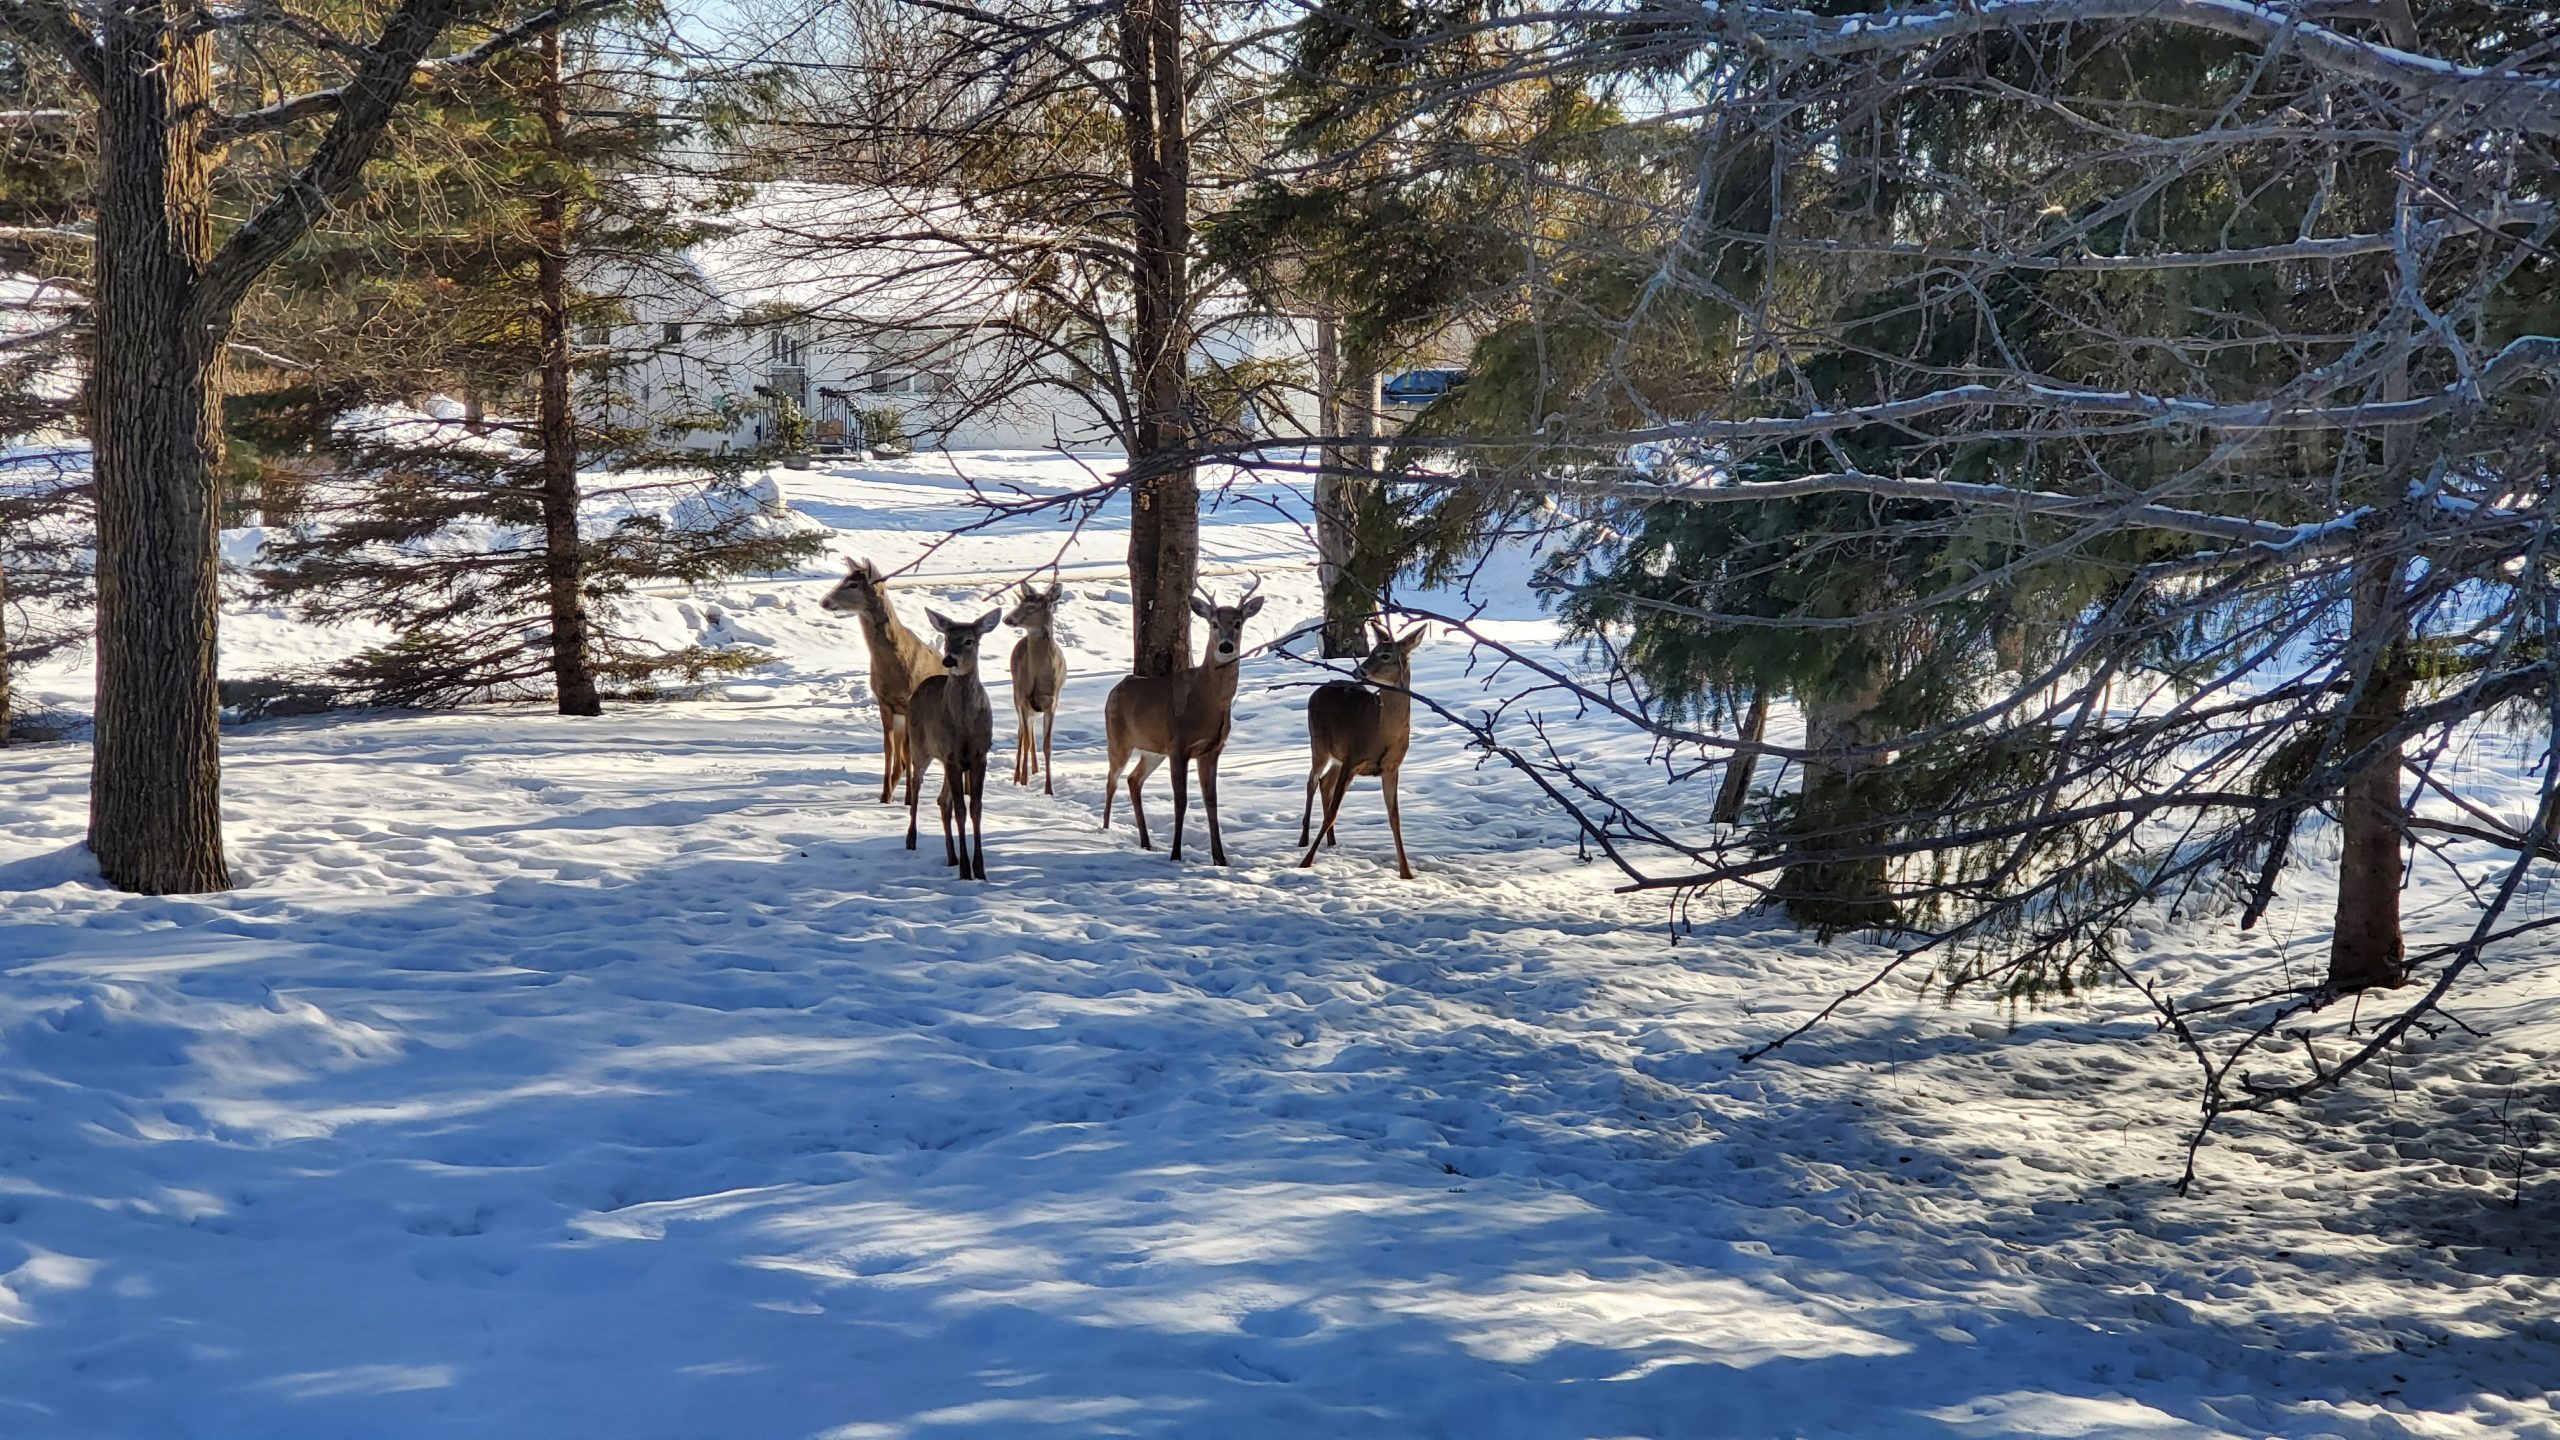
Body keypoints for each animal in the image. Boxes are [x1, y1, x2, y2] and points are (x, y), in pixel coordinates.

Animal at [820, 558, 943, 804]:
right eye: (844, 578)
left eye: (853, 584)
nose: (824, 601)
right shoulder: (884, 702)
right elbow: (888, 749)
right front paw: (885, 797)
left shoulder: (909, 703)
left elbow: (907, 752)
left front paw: (908, 799)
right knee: (901, 759)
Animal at [905, 606, 1002, 880]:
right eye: (948, 638)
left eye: (969, 640)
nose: (949, 660)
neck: (965, 726)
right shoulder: (951, 755)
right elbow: (961, 810)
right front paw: (966, 871)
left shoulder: (979, 756)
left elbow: (976, 808)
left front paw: (980, 870)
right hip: (920, 747)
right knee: (916, 786)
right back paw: (911, 840)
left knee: (942, 800)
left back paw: (951, 856)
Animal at [1003, 581, 1068, 793]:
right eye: (1020, 602)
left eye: (1032, 607)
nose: (1007, 619)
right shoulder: (1023, 698)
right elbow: (1025, 740)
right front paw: (1023, 781)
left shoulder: (1051, 701)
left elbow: (1047, 745)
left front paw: (1049, 789)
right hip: (1016, 696)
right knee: (1022, 734)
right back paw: (1018, 777)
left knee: (1028, 732)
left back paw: (1035, 770)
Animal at [1101, 578, 1265, 866]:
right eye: (1213, 623)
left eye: (1238, 622)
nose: (1225, 646)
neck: (1206, 701)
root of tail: (1116, 688)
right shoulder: (1178, 744)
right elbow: (1181, 800)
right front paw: (1176, 854)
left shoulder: (1211, 750)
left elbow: (1211, 802)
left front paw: (1220, 859)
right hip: (1118, 739)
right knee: (1112, 780)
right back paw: (1106, 830)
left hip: (1153, 750)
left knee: (1133, 780)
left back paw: (1146, 842)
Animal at [1298, 621, 1425, 880]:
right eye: (1373, 650)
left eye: (1385, 655)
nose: (1360, 672)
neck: (1381, 732)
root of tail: (1319, 689)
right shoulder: (1353, 758)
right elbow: (1333, 812)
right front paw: (1305, 863)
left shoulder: (1391, 767)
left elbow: (1395, 818)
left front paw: (1406, 872)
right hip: (1319, 742)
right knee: (1312, 780)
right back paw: (1304, 840)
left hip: (1336, 756)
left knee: (1325, 782)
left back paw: (1332, 841)